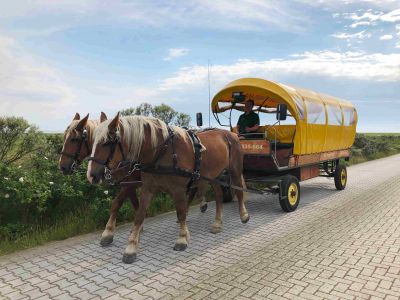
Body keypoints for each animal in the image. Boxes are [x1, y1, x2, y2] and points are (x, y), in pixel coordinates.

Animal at [87, 113, 250, 264]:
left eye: (107, 142)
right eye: (92, 142)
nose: (91, 175)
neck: (162, 152)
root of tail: (231, 134)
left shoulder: (178, 189)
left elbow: (181, 212)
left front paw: (182, 239)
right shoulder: (147, 189)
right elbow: (139, 215)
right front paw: (131, 247)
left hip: (235, 169)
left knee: (239, 190)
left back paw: (243, 215)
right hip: (214, 175)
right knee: (218, 196)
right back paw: (217, 223)